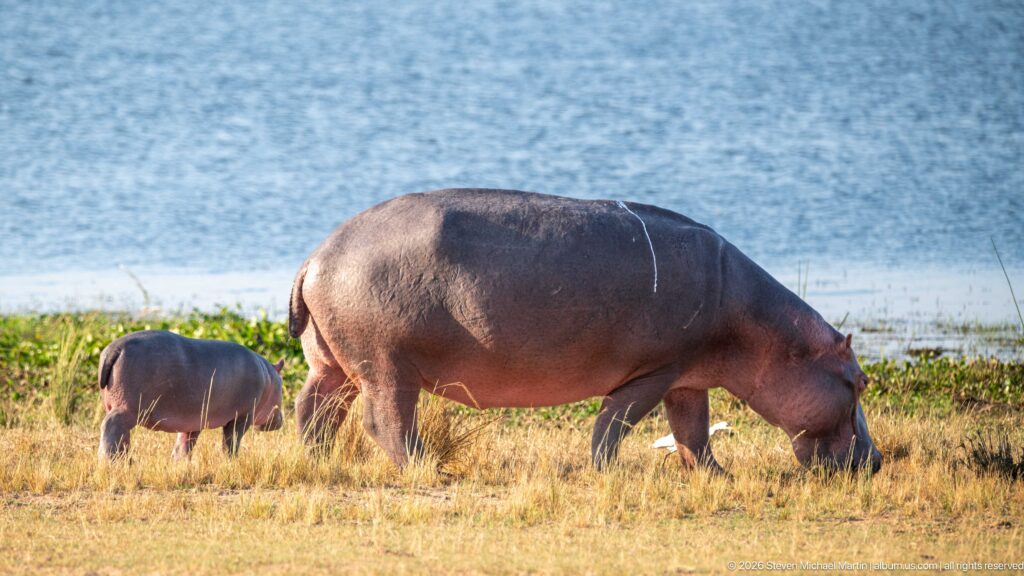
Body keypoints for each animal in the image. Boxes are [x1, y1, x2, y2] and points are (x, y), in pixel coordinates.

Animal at [97, 331, 285, 460]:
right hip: (129, 409)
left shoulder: (193, 419)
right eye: (282, 389)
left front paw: (178, 463)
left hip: (118, 406)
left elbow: (185, 442)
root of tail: (114, 349)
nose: (281, 420)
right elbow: (231, 441)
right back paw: (111, 461)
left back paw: (126, 460)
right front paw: (232, 461)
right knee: (111, 425)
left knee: (121, 433)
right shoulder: (242, 416)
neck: (269, 378)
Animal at [289, 188, 882, 473]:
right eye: (858, 382)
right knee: (384, 420)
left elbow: (692, 429)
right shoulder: (655, 369)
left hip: (331, 360)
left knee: (314, 409)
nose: (876, 461)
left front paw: (718, 476)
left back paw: (319, 460)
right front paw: (607, 471)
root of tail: (317, 257)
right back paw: (424, 467)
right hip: (386, 365)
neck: (768, 333)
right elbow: (616, 422)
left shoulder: (687, 375)